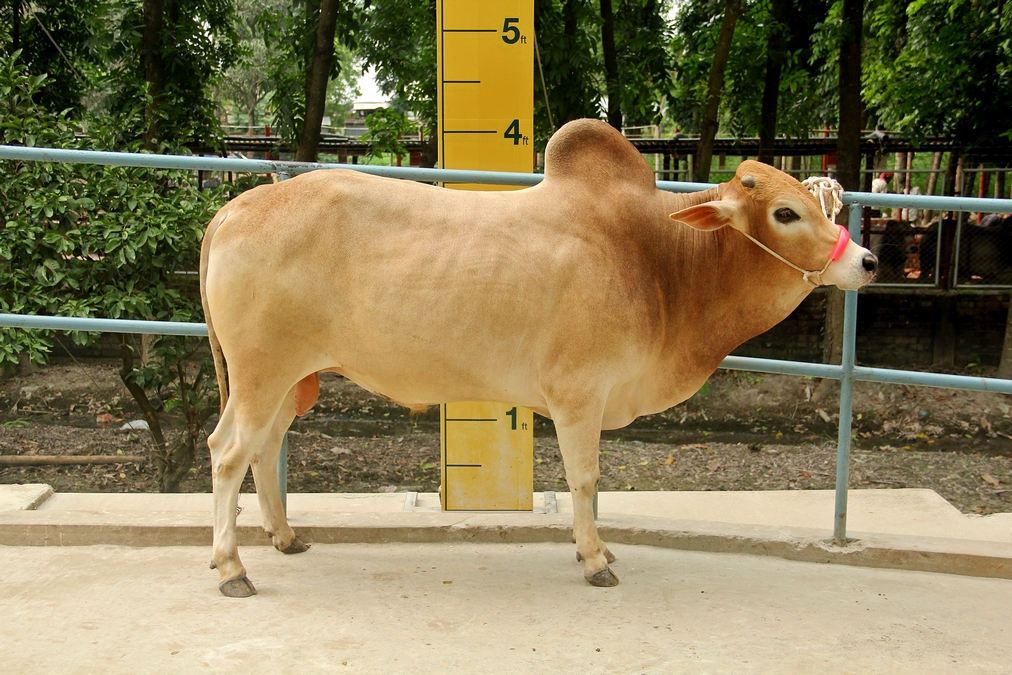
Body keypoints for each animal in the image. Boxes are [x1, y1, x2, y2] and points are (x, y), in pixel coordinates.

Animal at [199, 119, 878, 597]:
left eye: (820, 205)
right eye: (785, 212)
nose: (866, 260)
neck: (660, 259)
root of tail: (236, 207)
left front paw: (595, 547)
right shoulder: (579, 394)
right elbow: (586, 479)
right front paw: (595, 557)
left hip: (287, 381)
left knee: (262, 449)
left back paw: (285, 538)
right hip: (260, 375)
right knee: (227, 452)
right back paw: (232, 568)